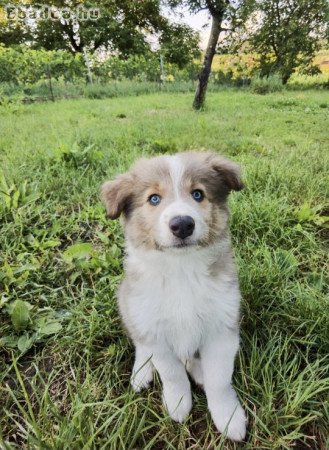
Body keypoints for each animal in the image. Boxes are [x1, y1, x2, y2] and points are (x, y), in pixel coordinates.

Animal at [101, 153, 245, 442]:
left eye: (198, 194)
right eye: (154, 198)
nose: (182, 224)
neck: (182, 269)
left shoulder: (222, 329)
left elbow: (219, 379)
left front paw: (229, 418)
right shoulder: (156, 333)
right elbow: (172, 373)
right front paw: (178, 405)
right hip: (128, 304)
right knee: (141, 345)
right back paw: (141, 373)